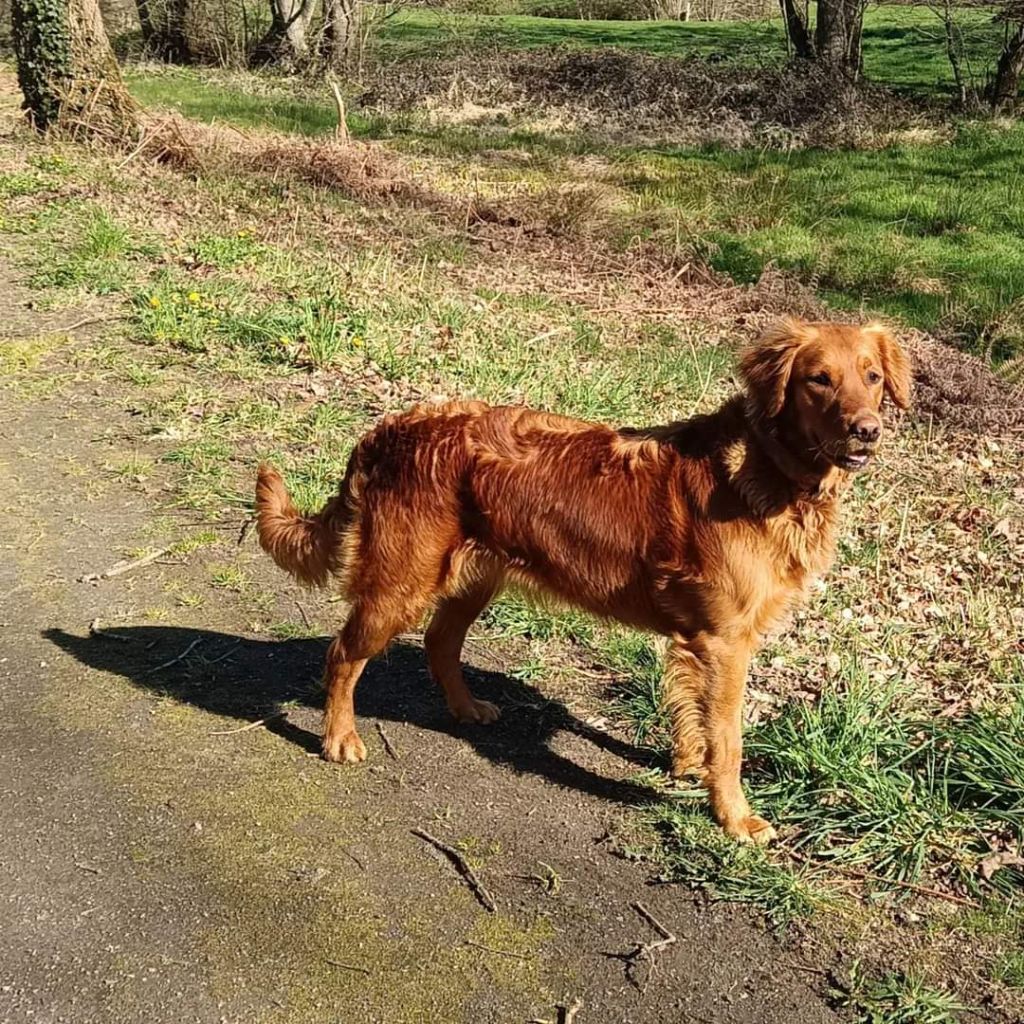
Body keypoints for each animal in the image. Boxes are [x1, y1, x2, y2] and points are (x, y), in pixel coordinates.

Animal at [258, 317, 913, 839]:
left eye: (872, 377)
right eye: (818, 379)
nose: (867, 429)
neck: (769, 470)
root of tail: (390, 429)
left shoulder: (695, 642)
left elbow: (692, 717)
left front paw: (686, 766)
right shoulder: (726, 642)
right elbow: (729, 740)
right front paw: (733, 817)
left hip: (474, 578)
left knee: (440, 642)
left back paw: (468, 709)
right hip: (402, 582)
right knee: (343, 655)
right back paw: (339, 737)